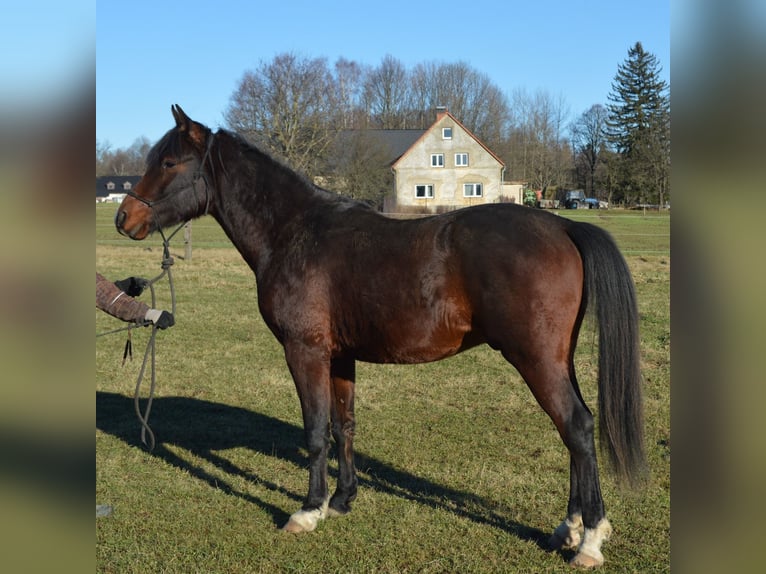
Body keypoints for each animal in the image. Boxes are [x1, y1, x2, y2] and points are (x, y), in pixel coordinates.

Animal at [117, 106, 644, 568]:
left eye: (168, 163)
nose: (124, 219)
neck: (294, 233)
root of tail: (563, 225)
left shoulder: (304, 352)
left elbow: (314, 431)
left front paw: (307, 511)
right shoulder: (339, 357)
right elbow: (343, 426)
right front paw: (342, 500)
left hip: (534, 358)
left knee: (576, 426)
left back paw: (588, 541)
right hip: (557, 359)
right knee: (574, 431)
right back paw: (569, 528)